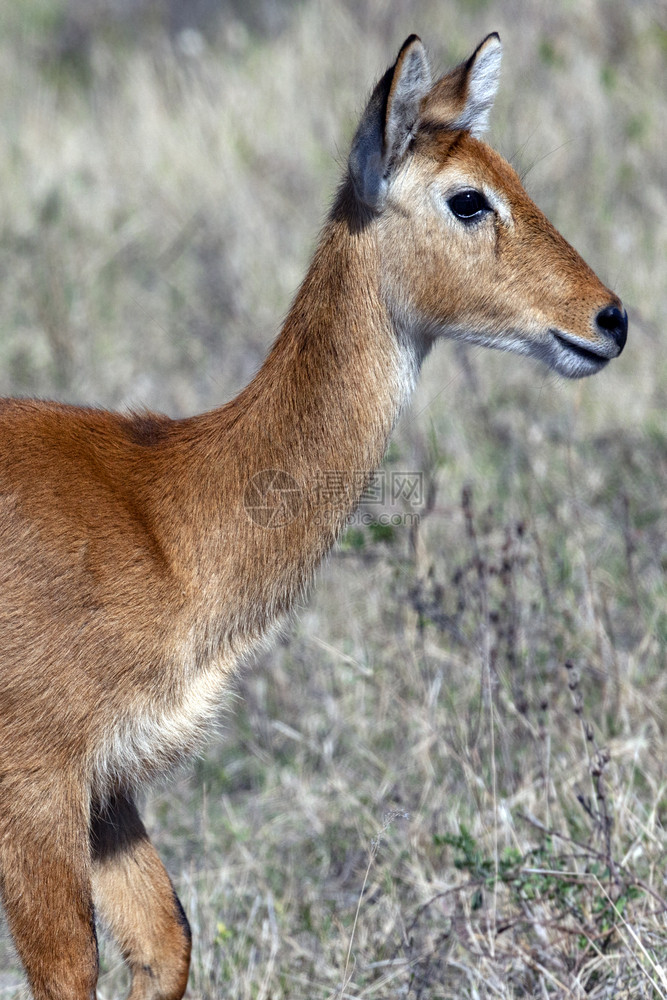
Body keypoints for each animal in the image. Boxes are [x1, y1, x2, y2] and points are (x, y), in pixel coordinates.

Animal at [0, 31, 628, 1000]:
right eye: (467, 197)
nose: (610, 318)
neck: (160, 515)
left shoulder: (110, 791)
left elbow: (166, 940)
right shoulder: (37, 785)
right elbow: (70, 970)